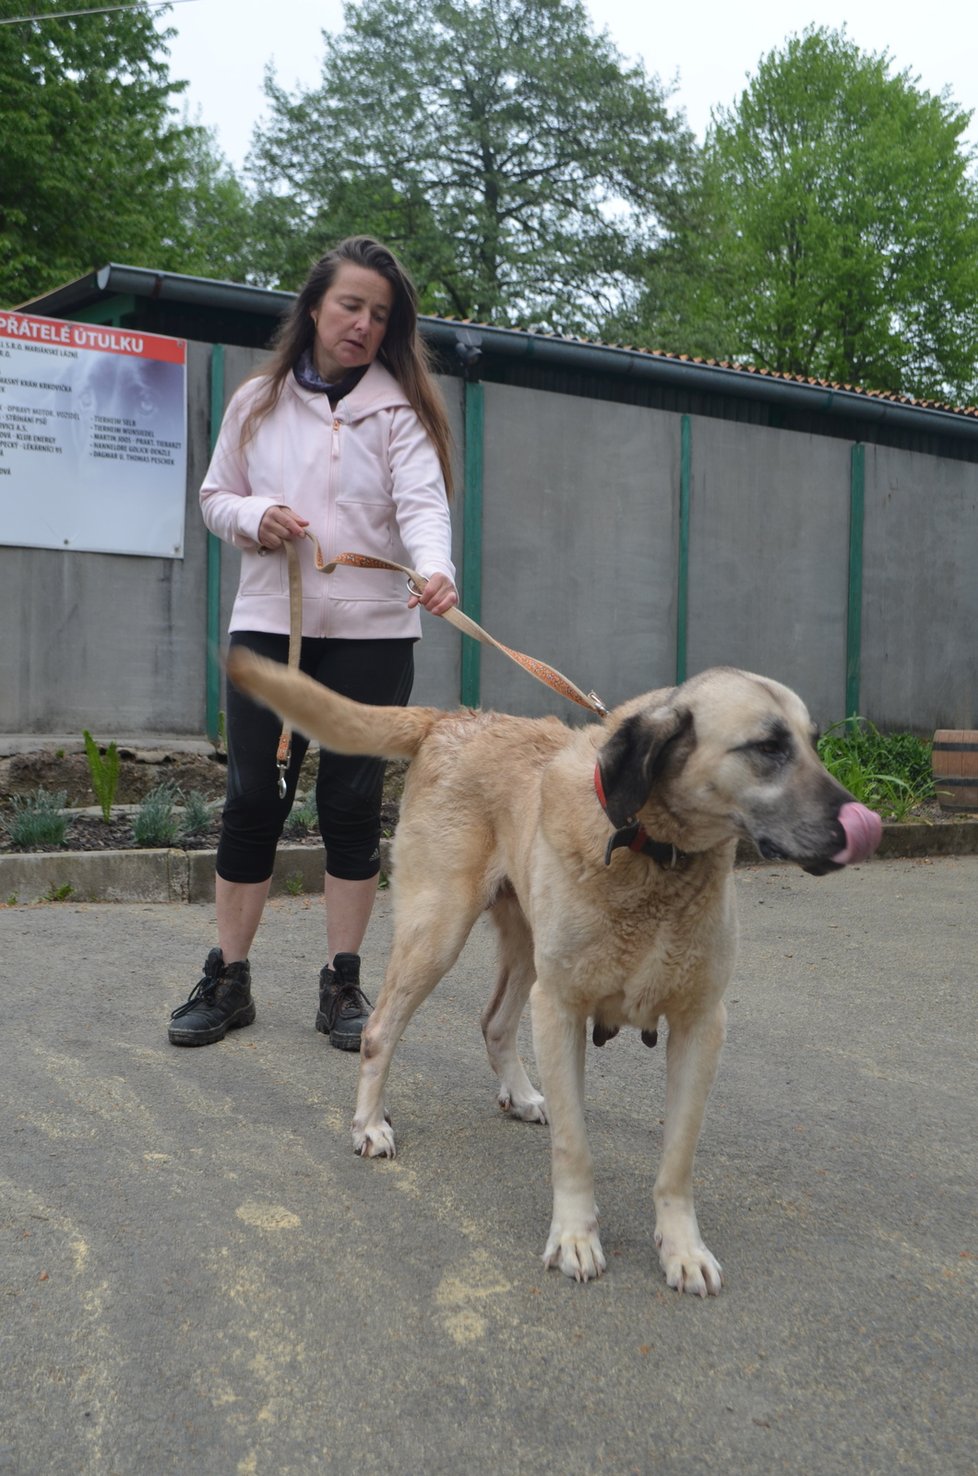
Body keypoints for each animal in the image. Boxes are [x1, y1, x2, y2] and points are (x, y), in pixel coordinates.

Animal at [227, 658, 879, 1292]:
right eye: (767, 747)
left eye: (813, 743)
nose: (861, 826)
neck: (652, 853)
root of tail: (454, 718)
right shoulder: (562, 1008)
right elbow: (574, 1146)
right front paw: (574, 1239)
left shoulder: (700, 1024)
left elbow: (678, 1154)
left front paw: (682, 1249)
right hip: (437, 931)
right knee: (380, 1029)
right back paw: (369, 1124)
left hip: (525, 946)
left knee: (494, 1021)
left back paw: (517, 1094)